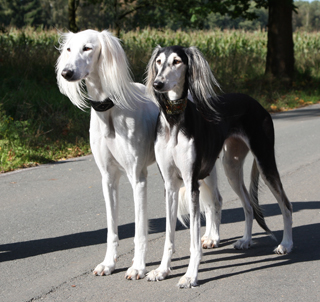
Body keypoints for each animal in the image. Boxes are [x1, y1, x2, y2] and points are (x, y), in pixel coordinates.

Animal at [146, 45, 292, 288]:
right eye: (158, 61)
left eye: (177, 61)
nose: (158, 84)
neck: (174, 120)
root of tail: (255, 102)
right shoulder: (170, 186)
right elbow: (169, 235)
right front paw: (162, 270)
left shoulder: (191, 184)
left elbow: (194, 240)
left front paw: (190, 275)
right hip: (231, 167)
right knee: (248, 205)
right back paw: (246, 240)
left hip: (265, 161)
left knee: (286, 204)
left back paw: (286, 244)